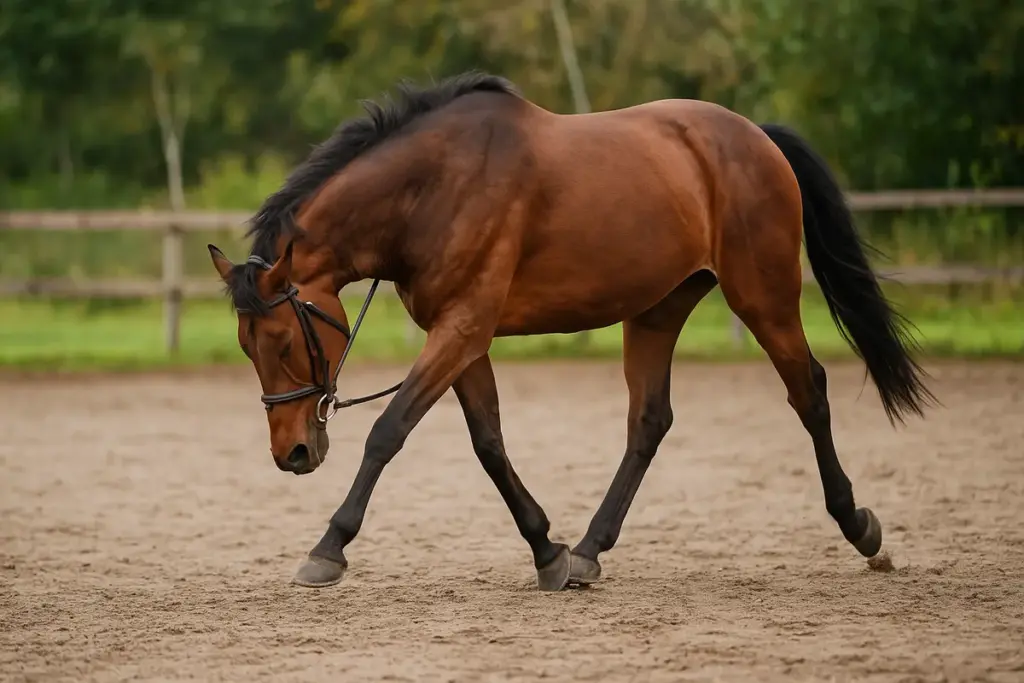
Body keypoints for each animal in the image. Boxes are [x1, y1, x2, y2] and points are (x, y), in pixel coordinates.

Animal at [207, 70, 934, 591]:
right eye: (245, 347)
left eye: (279, 342)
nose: (293, 453)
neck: (432, 189)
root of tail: (754, 135)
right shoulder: (462, 334)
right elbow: (489, 444)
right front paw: (548, 551)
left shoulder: (462, 328)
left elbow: (389, 431)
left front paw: (328, 548)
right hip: (657, 309)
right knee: (649, 421)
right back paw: (588, 550)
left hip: (764, 296)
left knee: (808, 392)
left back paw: (860, 526)